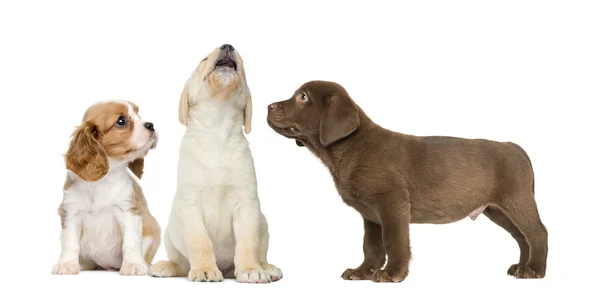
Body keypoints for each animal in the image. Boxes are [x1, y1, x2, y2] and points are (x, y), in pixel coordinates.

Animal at [51, 100, 161, 274]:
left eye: (138, 114)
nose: (151, 125)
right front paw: (67, 264)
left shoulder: (128, 210)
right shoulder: (71, 212)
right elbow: (70, 243)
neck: (103, 179)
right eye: (121, 121)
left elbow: (131, 242)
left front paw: (133, 265)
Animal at [149, 44, 282, 282]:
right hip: (171, 232)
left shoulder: (247, 204)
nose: (228, 46)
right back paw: (166, 266)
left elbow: (247, 242)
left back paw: (267, 267)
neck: (217, 131)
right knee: (181, 263)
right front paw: (204, 269)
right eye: (203, 59)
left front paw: (250, 270)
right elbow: (200, 242)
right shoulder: (189, 205)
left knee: (261, 252)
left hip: (263, 223)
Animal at [268, 80, 548, 280]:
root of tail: (514, 146)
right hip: (498, 210)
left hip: (517, 201)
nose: (268, 106)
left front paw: (392, 274)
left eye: (303, 97)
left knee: (537, 233)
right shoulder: (371, 215)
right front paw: (363, 272)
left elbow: (394, 241)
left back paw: (535, 270)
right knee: (522, 237)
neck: (351, 148)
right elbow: (371, 246)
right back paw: (522, 267)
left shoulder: (392, 203)